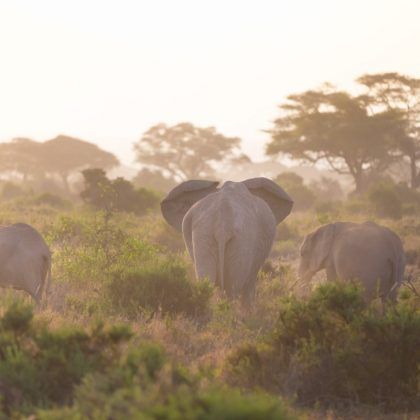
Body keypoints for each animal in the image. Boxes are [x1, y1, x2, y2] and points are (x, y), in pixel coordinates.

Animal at [160, 177, 292, 302]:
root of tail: (222, 223)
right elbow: (249, 285)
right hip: (242, 240)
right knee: (233, 286)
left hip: (205, 235)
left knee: (208, 280)